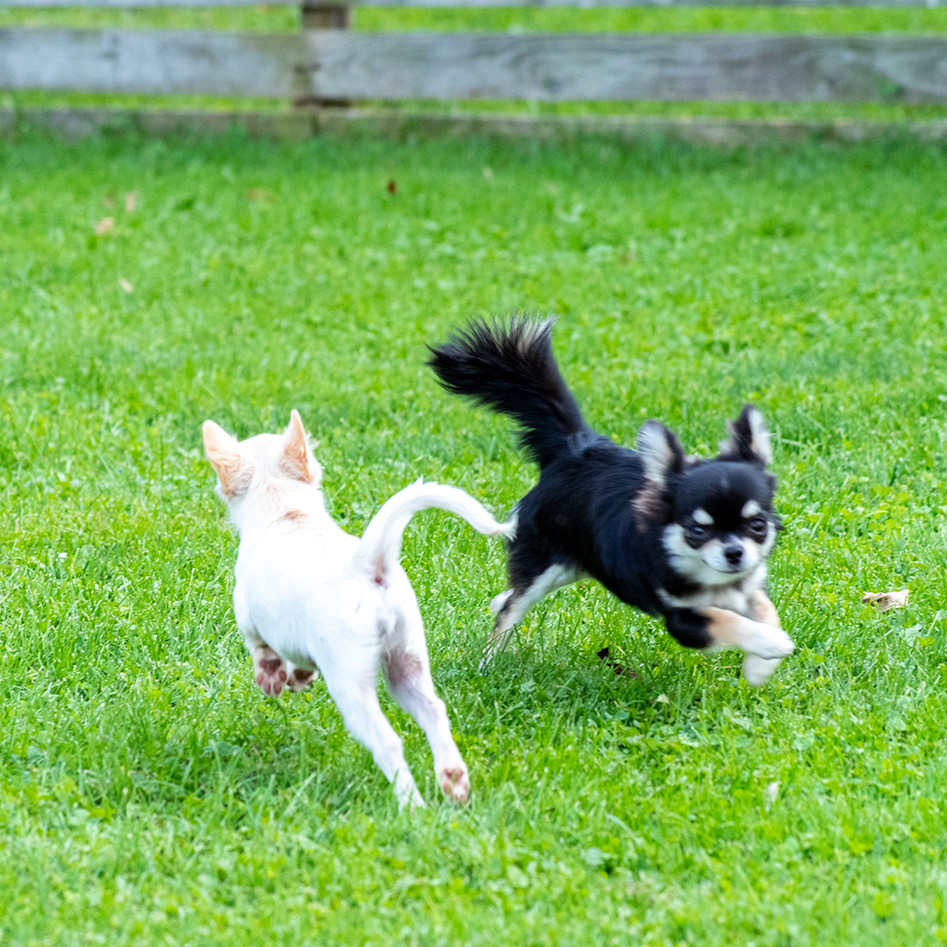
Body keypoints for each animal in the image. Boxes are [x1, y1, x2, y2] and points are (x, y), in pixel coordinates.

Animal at [203, 412, 508, 812]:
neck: (287, 514)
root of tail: (366, 566)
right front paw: (300, 676)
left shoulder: (248, 616)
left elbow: (261, 648)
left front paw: (272, 677)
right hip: (406, 661)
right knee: (434, 712)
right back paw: (453, 779)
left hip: (350, 682)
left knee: (388, 742)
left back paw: (412, 807)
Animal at [430, 322, 792, 684]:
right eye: (697, 531)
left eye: (757, 525)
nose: (734, 553)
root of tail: (573, 449)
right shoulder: (683, 619)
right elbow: (728, 620)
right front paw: (771, 643)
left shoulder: (749, 587)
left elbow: (765, 609)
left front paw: (759, 666)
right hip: (546, 563)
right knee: (510, 610)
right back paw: (488, 660)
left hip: (577, 563)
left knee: (511, 595)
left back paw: (497, 602)